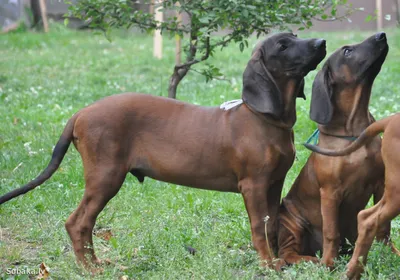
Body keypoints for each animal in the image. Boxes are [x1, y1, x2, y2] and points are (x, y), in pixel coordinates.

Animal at [0, 33, 326, 272]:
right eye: (283, 45)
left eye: (295, 35)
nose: (321, 42)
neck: (266, 118)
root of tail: (80, 113)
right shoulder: (254, 186)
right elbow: (259, 227)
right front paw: (267, 265)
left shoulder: (273, 184)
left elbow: (271, 227)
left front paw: (278, 261)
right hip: (106, 177)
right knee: (77, 222)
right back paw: (89, 269)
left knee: (85, 223)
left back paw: (96, 263)